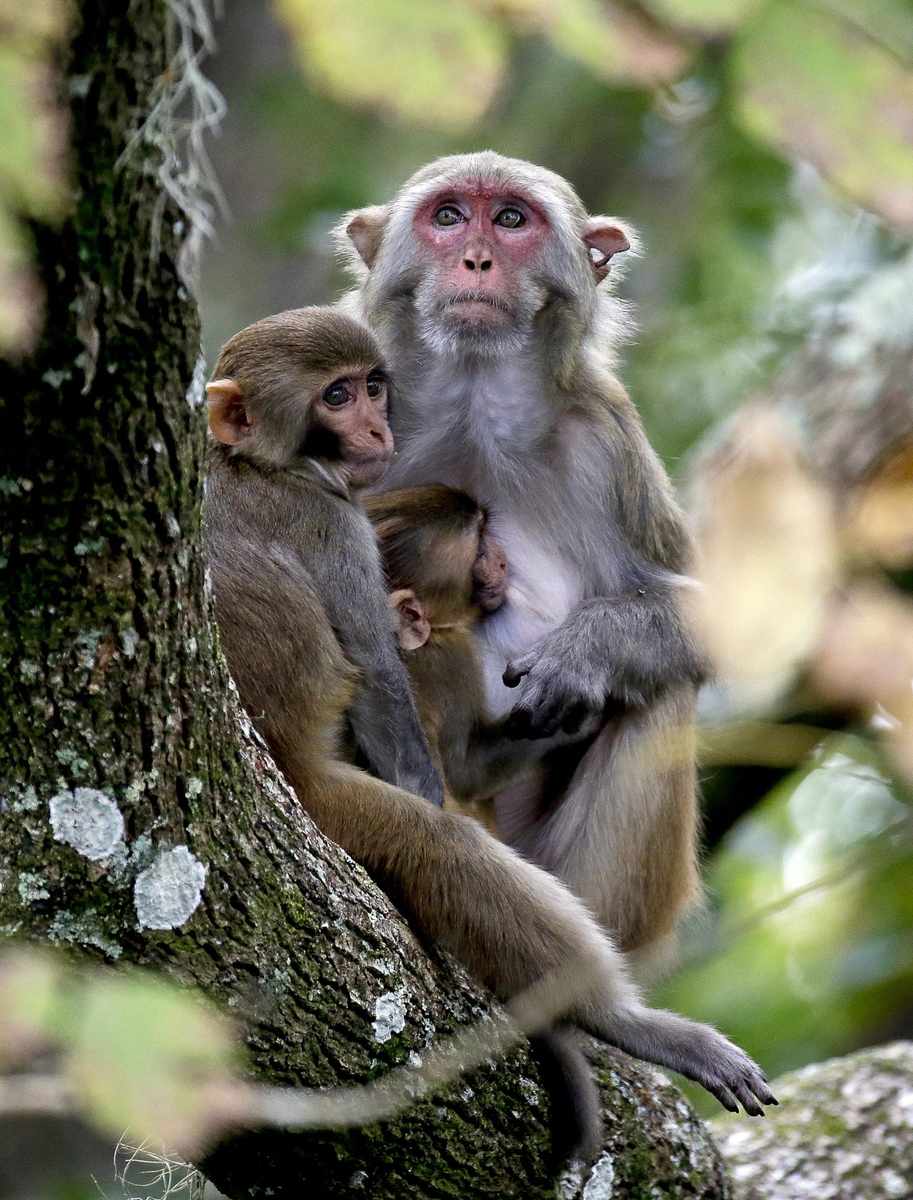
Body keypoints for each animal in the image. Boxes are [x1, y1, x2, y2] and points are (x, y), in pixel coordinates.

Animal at [202, 306, 775, 1165]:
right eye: (336, 396)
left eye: (373, 386)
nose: (376, 424)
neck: (256, 465)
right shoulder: (337, 530)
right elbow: (384, 688)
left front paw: (578, 677)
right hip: (330, 804)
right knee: (447, 850)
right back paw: (621, 1020)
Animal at [336, 152, 705, 963]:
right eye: (447, 217)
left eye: (510, 220)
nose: (476, 259)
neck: (474, 402)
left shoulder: (605, 439)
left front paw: (586, 652)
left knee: (663, 689)